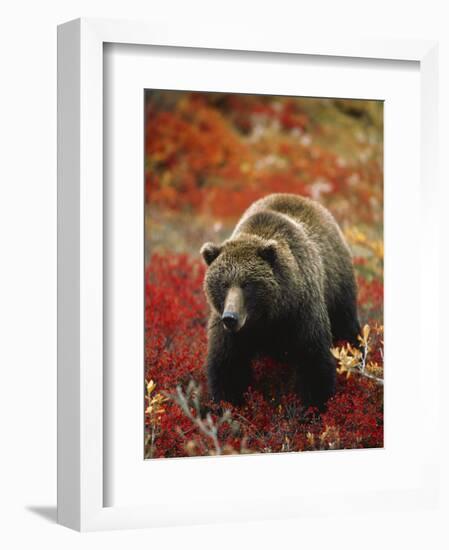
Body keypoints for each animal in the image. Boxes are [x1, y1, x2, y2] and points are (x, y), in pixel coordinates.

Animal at [201, 194, 358, 410]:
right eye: (223, 284)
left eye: (247, 284)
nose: (230, 317)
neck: (267, 317)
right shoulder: (229, 331)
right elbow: (228, 366)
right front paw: (230, 405)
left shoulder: (301, 313)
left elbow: (313, 361)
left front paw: (314, 406)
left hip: (338, 287)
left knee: (347, 325)